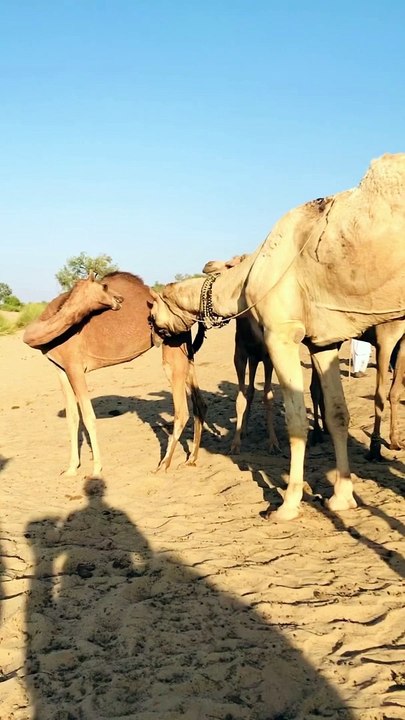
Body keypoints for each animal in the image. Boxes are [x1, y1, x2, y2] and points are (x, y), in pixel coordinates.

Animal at [23, 272, 206, 476]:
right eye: (104, 287)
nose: (119, 299)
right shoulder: (60, 369)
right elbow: (72, 417)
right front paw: (70, 469)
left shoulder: (75, 366)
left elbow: (88, 417)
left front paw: (96, 469)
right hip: (186, 348)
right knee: (199, 403)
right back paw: (191, 459)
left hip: (173, 345)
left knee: (181, 409)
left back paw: (163, 465)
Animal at [150, 153, 405, 520]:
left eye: (151, 315)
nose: (158, 338)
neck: (246, 278)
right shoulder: (324, 343)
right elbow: (337, 414)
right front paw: (341, 498)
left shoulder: (281, 335)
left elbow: (296, 420)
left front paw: (287, 504)